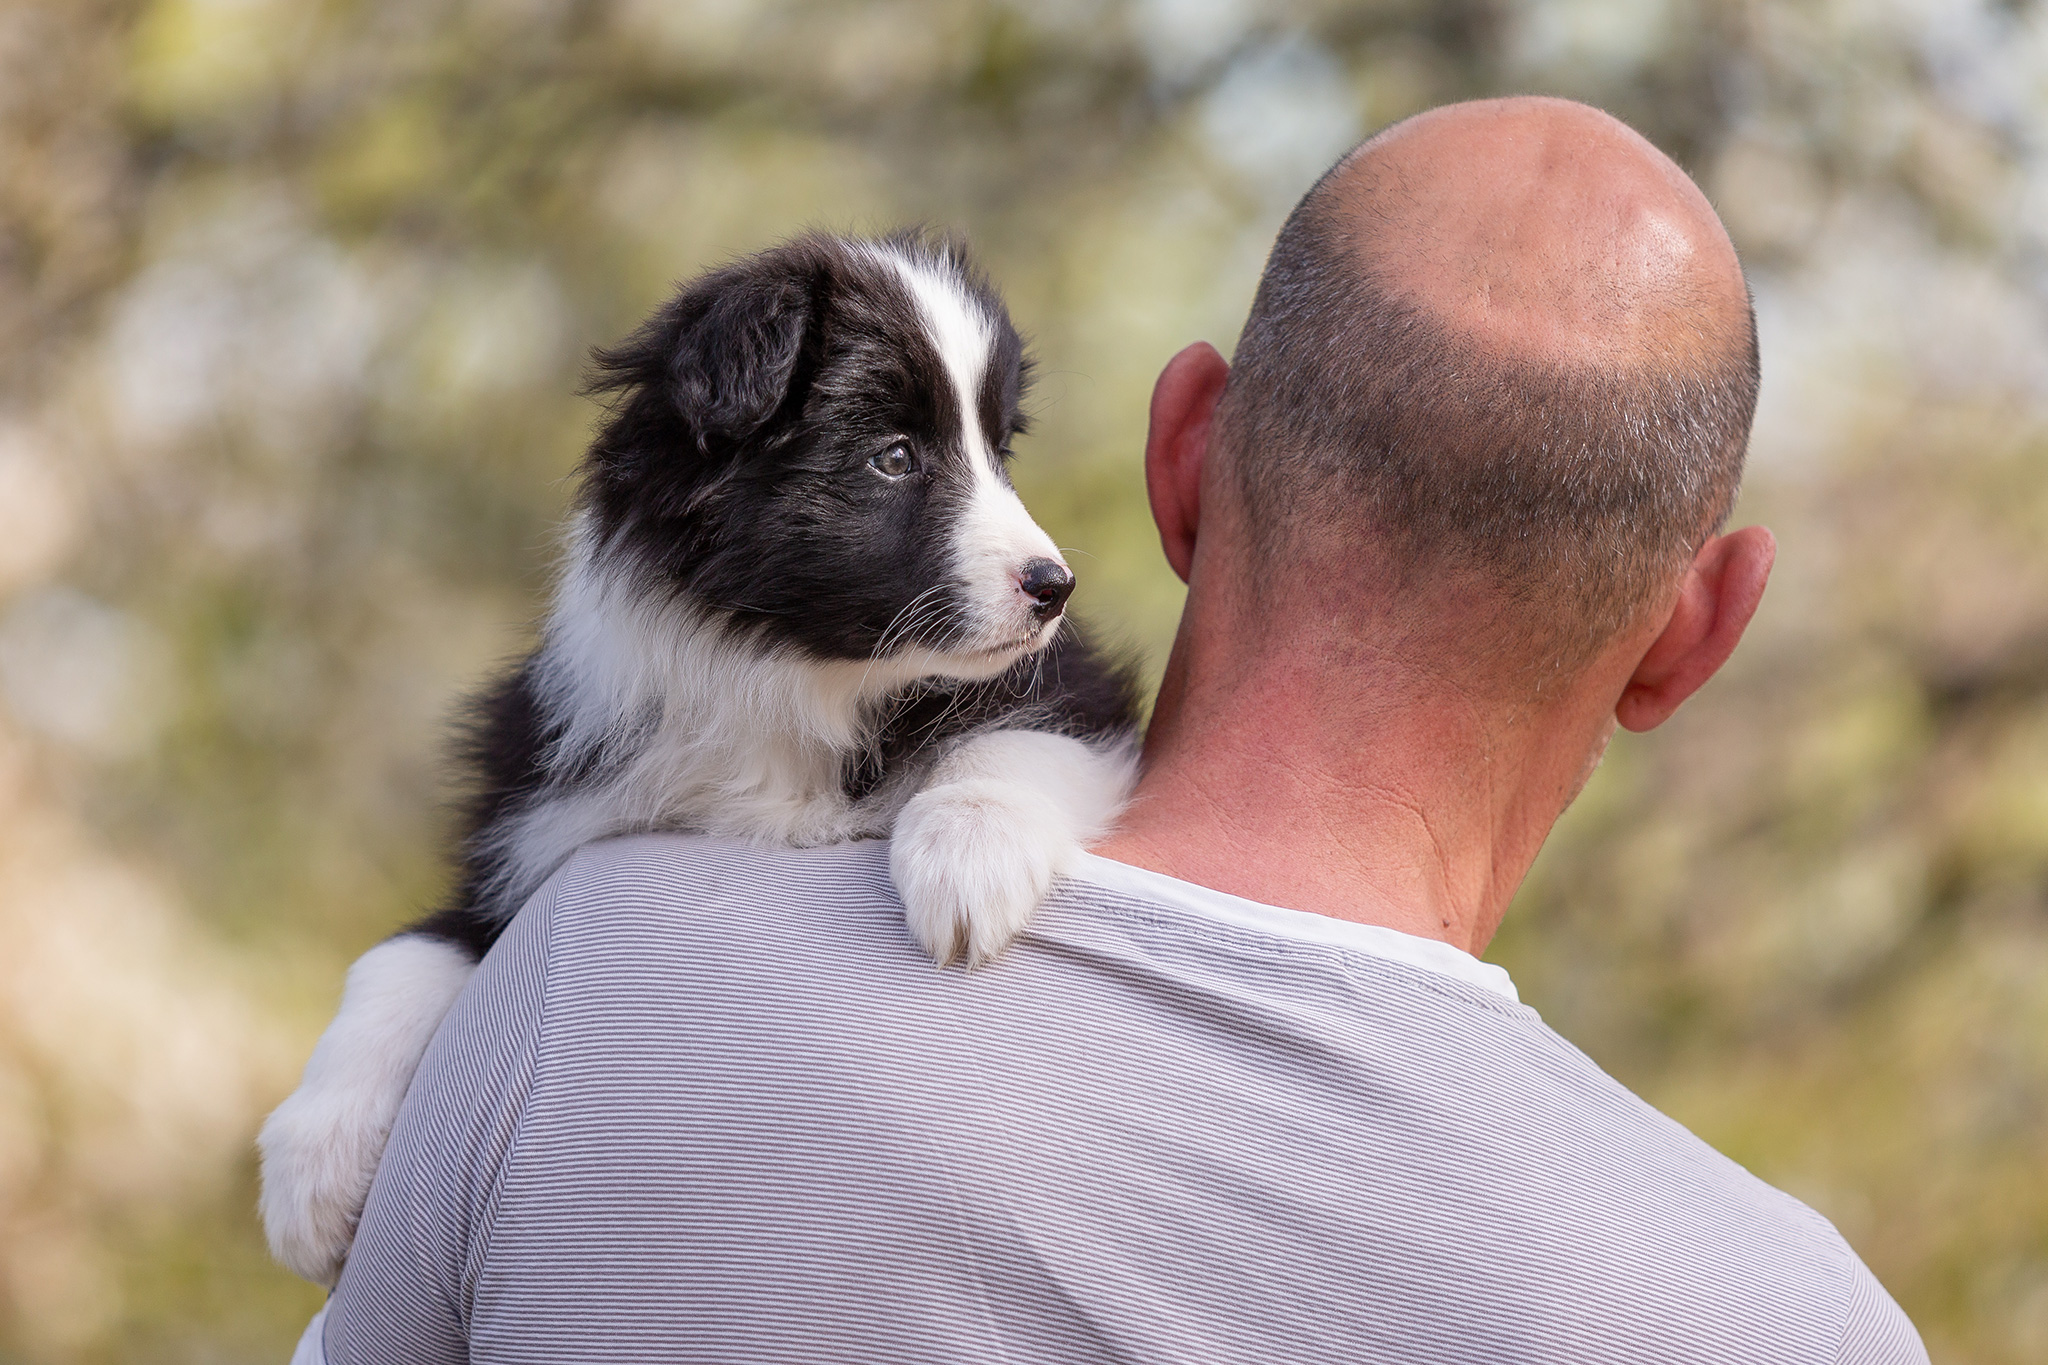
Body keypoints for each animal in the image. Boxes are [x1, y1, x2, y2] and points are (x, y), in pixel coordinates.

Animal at [256, 229, 1146, 1285]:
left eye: (1001, 452)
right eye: (894, 457)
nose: (1054, 585)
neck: (798, 675)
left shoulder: (1077, 692)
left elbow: (1009, 743)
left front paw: (966, 870)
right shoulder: (545, 819)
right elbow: (411, 948)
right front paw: (310, 1171)